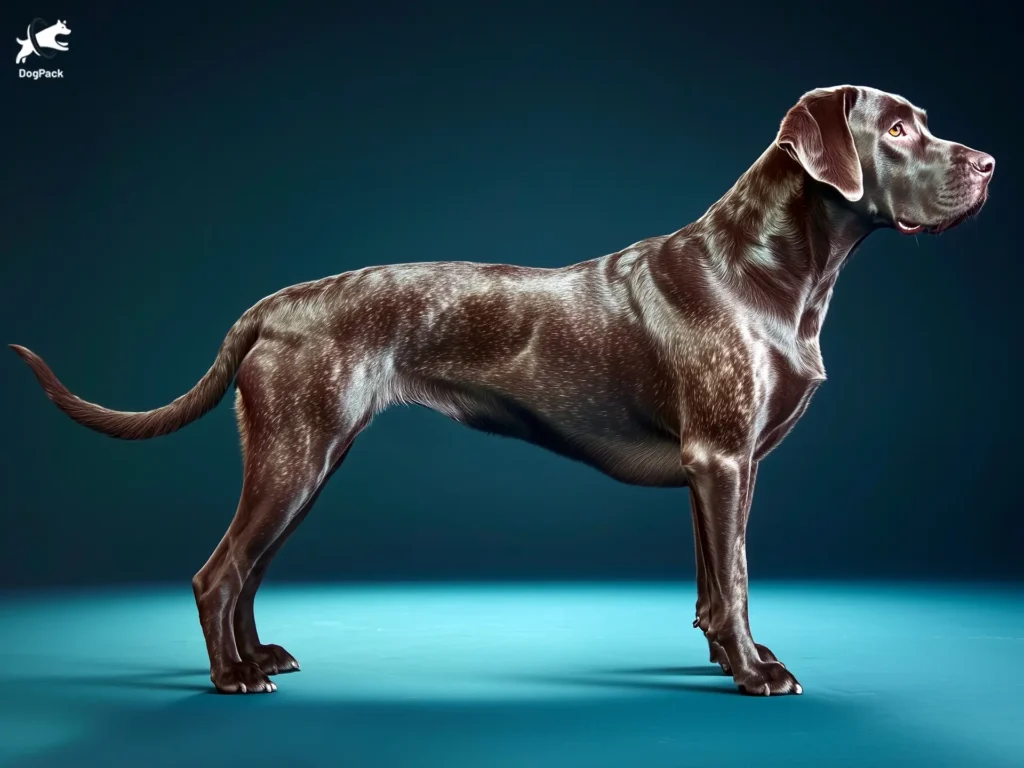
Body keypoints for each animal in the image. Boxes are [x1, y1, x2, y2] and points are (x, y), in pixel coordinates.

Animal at [12, 85, 995, 696]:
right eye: (896, 130)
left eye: (923, 122)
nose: (987, 164)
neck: (770, 268)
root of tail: (273, 304)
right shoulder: (722, 459)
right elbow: (742, 576)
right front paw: (757, 674)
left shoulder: (717, 469)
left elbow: (715, 585)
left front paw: (729, 659)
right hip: (296, 455)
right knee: (219, 573)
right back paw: (232, 678)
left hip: (308, 458)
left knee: (248, 572)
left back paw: (262, 657)